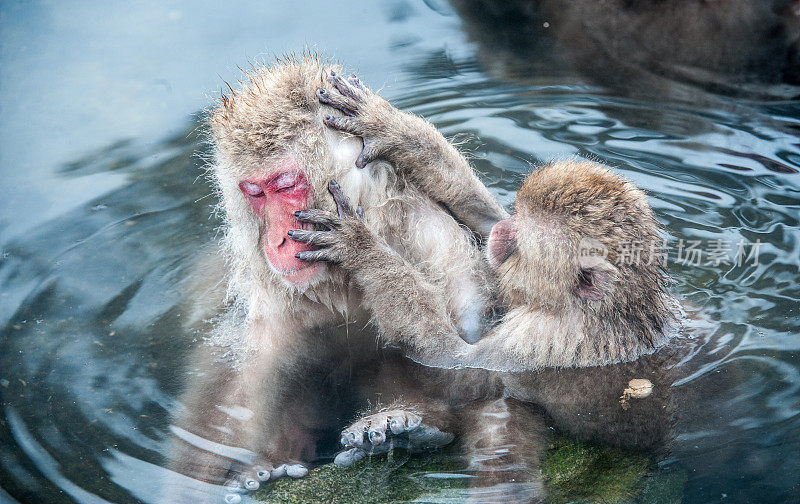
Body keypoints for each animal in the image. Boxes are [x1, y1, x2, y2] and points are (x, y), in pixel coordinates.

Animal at [167, 57, 506, 502]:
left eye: (285, 186)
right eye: (255, 193)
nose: (275, 241)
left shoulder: (435, 239)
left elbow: (466, 365)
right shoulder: (271, 307)